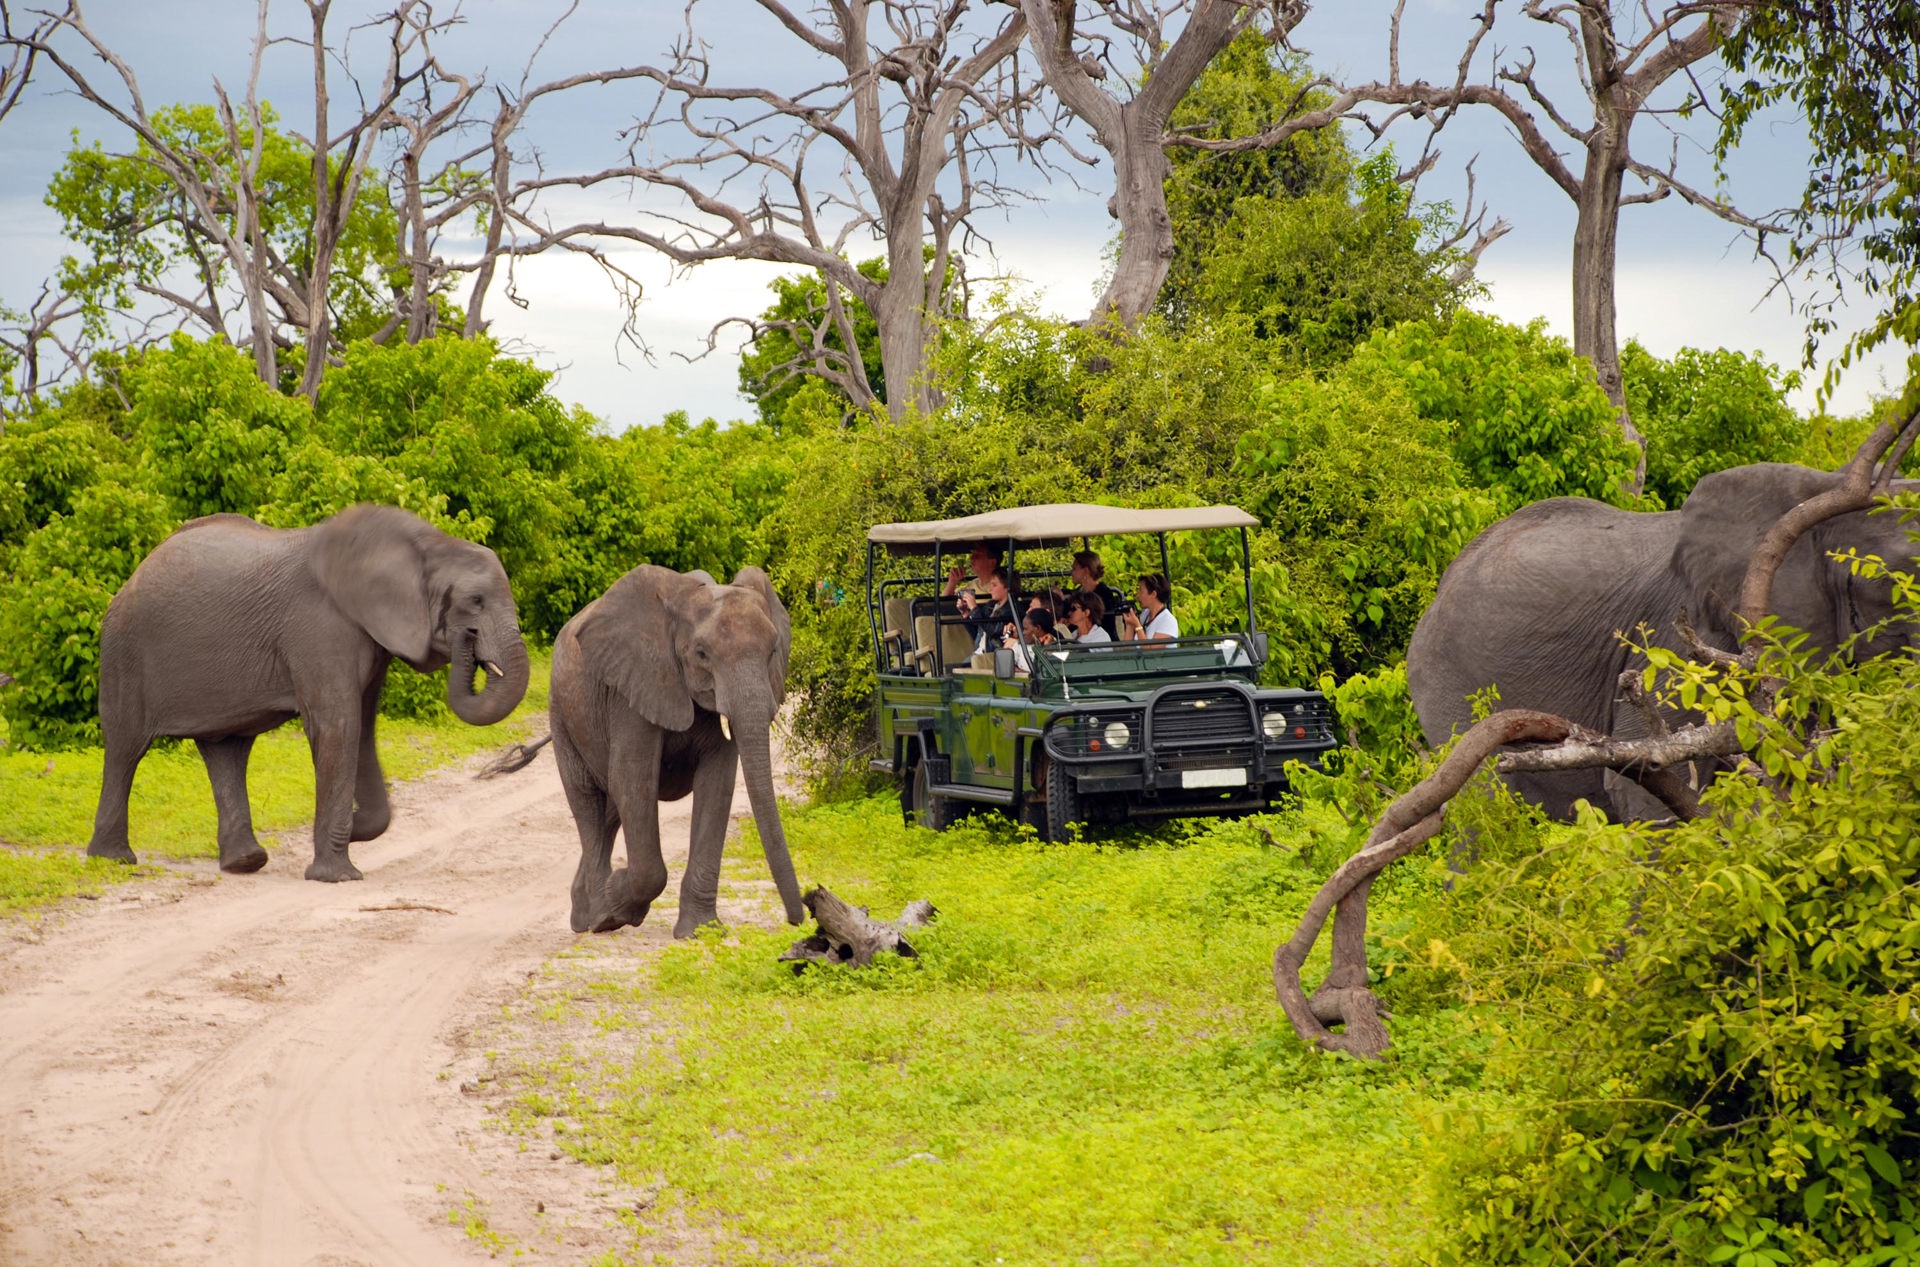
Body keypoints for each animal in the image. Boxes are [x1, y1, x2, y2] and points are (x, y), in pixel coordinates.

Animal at [87, 502, 529, 879]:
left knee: (227, 750)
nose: (467, 639)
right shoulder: (318, 625)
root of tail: (133, 575)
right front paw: (337, 875)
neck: (426, 542)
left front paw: (353, 831)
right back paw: (114, 860)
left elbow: (362, 728)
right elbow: (339, 726)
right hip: (124, 651)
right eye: (475, 601)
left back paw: (245, 863)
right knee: (126, 747)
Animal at [549, 564, 810, 940]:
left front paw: (699, 931)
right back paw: (601, 919)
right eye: (701, 653)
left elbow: (717, 785)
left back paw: (584, 915)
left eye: (773, 650)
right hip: (562, 714)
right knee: (589, 804)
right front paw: (620, 903)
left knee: (611, 810)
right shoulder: (632, 687)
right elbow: (633, 779)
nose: (797, 919)